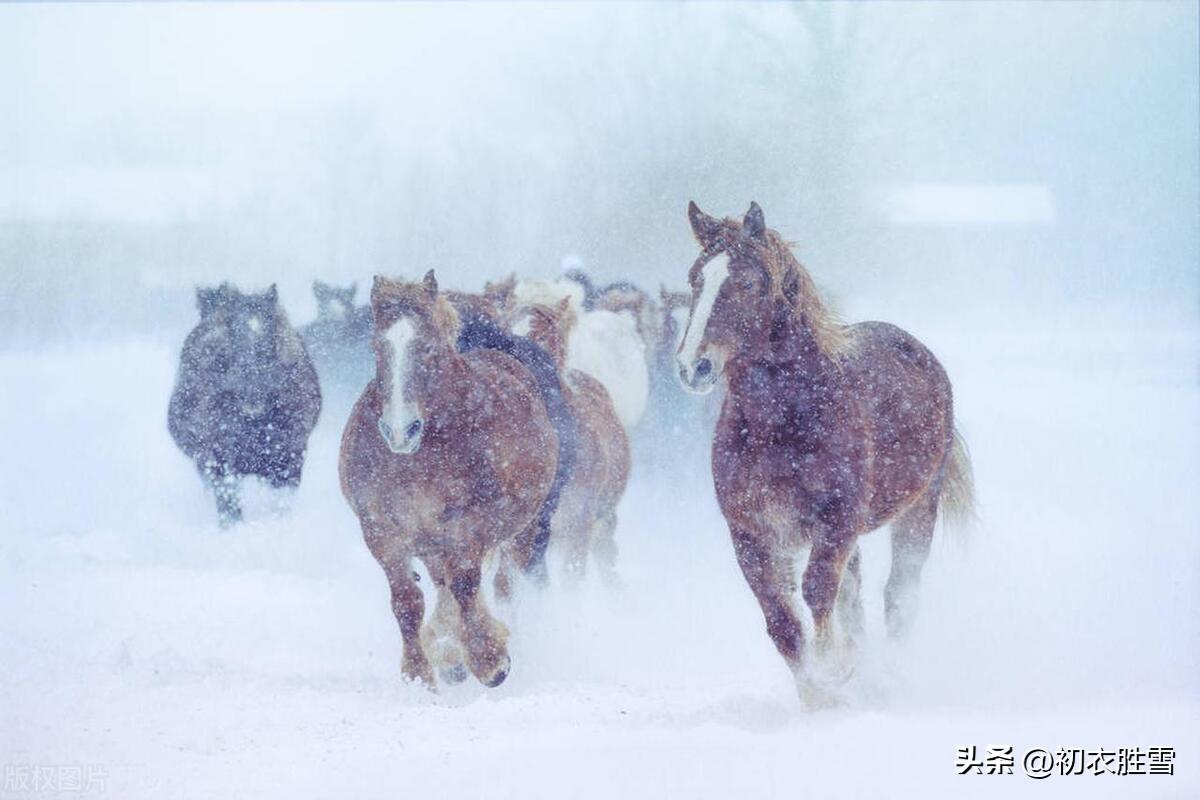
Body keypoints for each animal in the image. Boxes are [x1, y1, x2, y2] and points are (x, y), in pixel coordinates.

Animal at [166, 281, 324, 525]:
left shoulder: (290, 457)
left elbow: (281, 503)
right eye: (234, 341)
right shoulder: (220, 460)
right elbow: (229, 504)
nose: (252, 399)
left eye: (268, 343)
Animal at [340, 271, 559, 690]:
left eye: (427, 348)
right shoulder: (381, 531)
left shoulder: (465, 526)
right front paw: (419, 673)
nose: (400, 432)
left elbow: (465, 586)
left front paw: (490, 661)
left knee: (504, 586)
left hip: (522, 530)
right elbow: (406, 601)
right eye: (378, 346)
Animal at [676, 201, 974, 705]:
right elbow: (782, 619)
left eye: (749, 283)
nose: (691, 366)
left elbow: (817, 592)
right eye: (696, 279)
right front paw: (818, 695)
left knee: (899, 595)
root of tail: (919, 352)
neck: (780, 424)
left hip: (917, 509)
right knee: (854, 597)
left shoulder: (835, 520)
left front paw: (834, 667)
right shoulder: (752, 532)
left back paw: (889, 678)